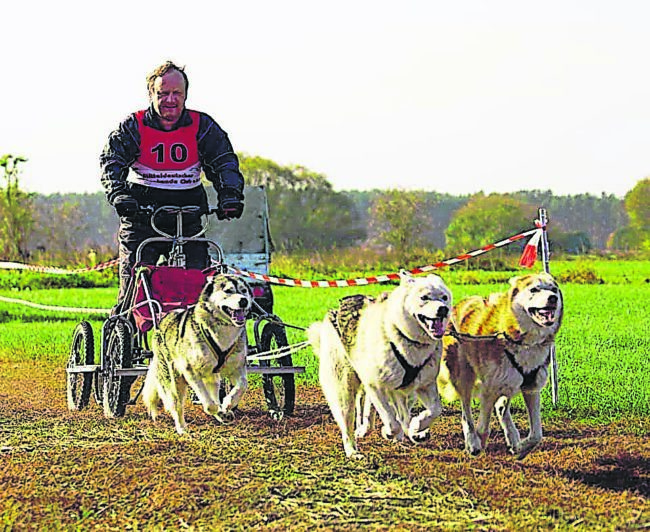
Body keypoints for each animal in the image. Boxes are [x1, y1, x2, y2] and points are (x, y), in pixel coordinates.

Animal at [143, 274, 252, 432]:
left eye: (244, 291)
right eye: (228, 291)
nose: (244, 301)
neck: (223, 331)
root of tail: (161, 321)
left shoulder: (237, 367)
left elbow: (242, 385)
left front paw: (228, 404)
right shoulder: (191, 372)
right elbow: (209, 404)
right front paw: (216, 409)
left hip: (212, 377)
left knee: (214, 391)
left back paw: (222, 413)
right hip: (174, 380)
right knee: (177, 405)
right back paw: (182, 428)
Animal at [308, 272, 450, 460]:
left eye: (444, 298)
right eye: (424, 297)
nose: (443, 309)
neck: (403, 336)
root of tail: (336, 310)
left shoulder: (424, 385)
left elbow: (434, 410)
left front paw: (417, 427)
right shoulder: (376, 386)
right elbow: (391, 421)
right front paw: (389, 432)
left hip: (401, 392)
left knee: (395, 413)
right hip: (344, 390)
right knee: (348, 423)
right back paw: (353, 450)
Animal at [438, 272, 560, 460]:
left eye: (554, 289)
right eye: (534, 289)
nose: (553, 298)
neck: (523, 341)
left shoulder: (531, 387)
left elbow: (537, 434)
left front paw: (522, 448)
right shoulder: (489, 388)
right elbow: (482, 427)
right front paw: (478, 444)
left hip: (510, 380)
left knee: (501, 406)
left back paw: (513, 438)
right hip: (463, 375)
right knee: (466, 412)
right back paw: (472, 441)